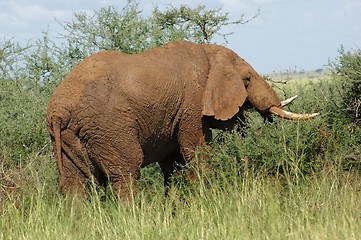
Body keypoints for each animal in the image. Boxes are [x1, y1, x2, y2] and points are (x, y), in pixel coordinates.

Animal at [45, 40, 318, 199]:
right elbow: (195, 149)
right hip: (109, 127)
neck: (210, 53)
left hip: (70, 136)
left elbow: (173, 163)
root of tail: (59, 110)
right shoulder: (192, 104)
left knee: (75, 183)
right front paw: (205, 198)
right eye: (248, 80)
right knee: (126, 173)